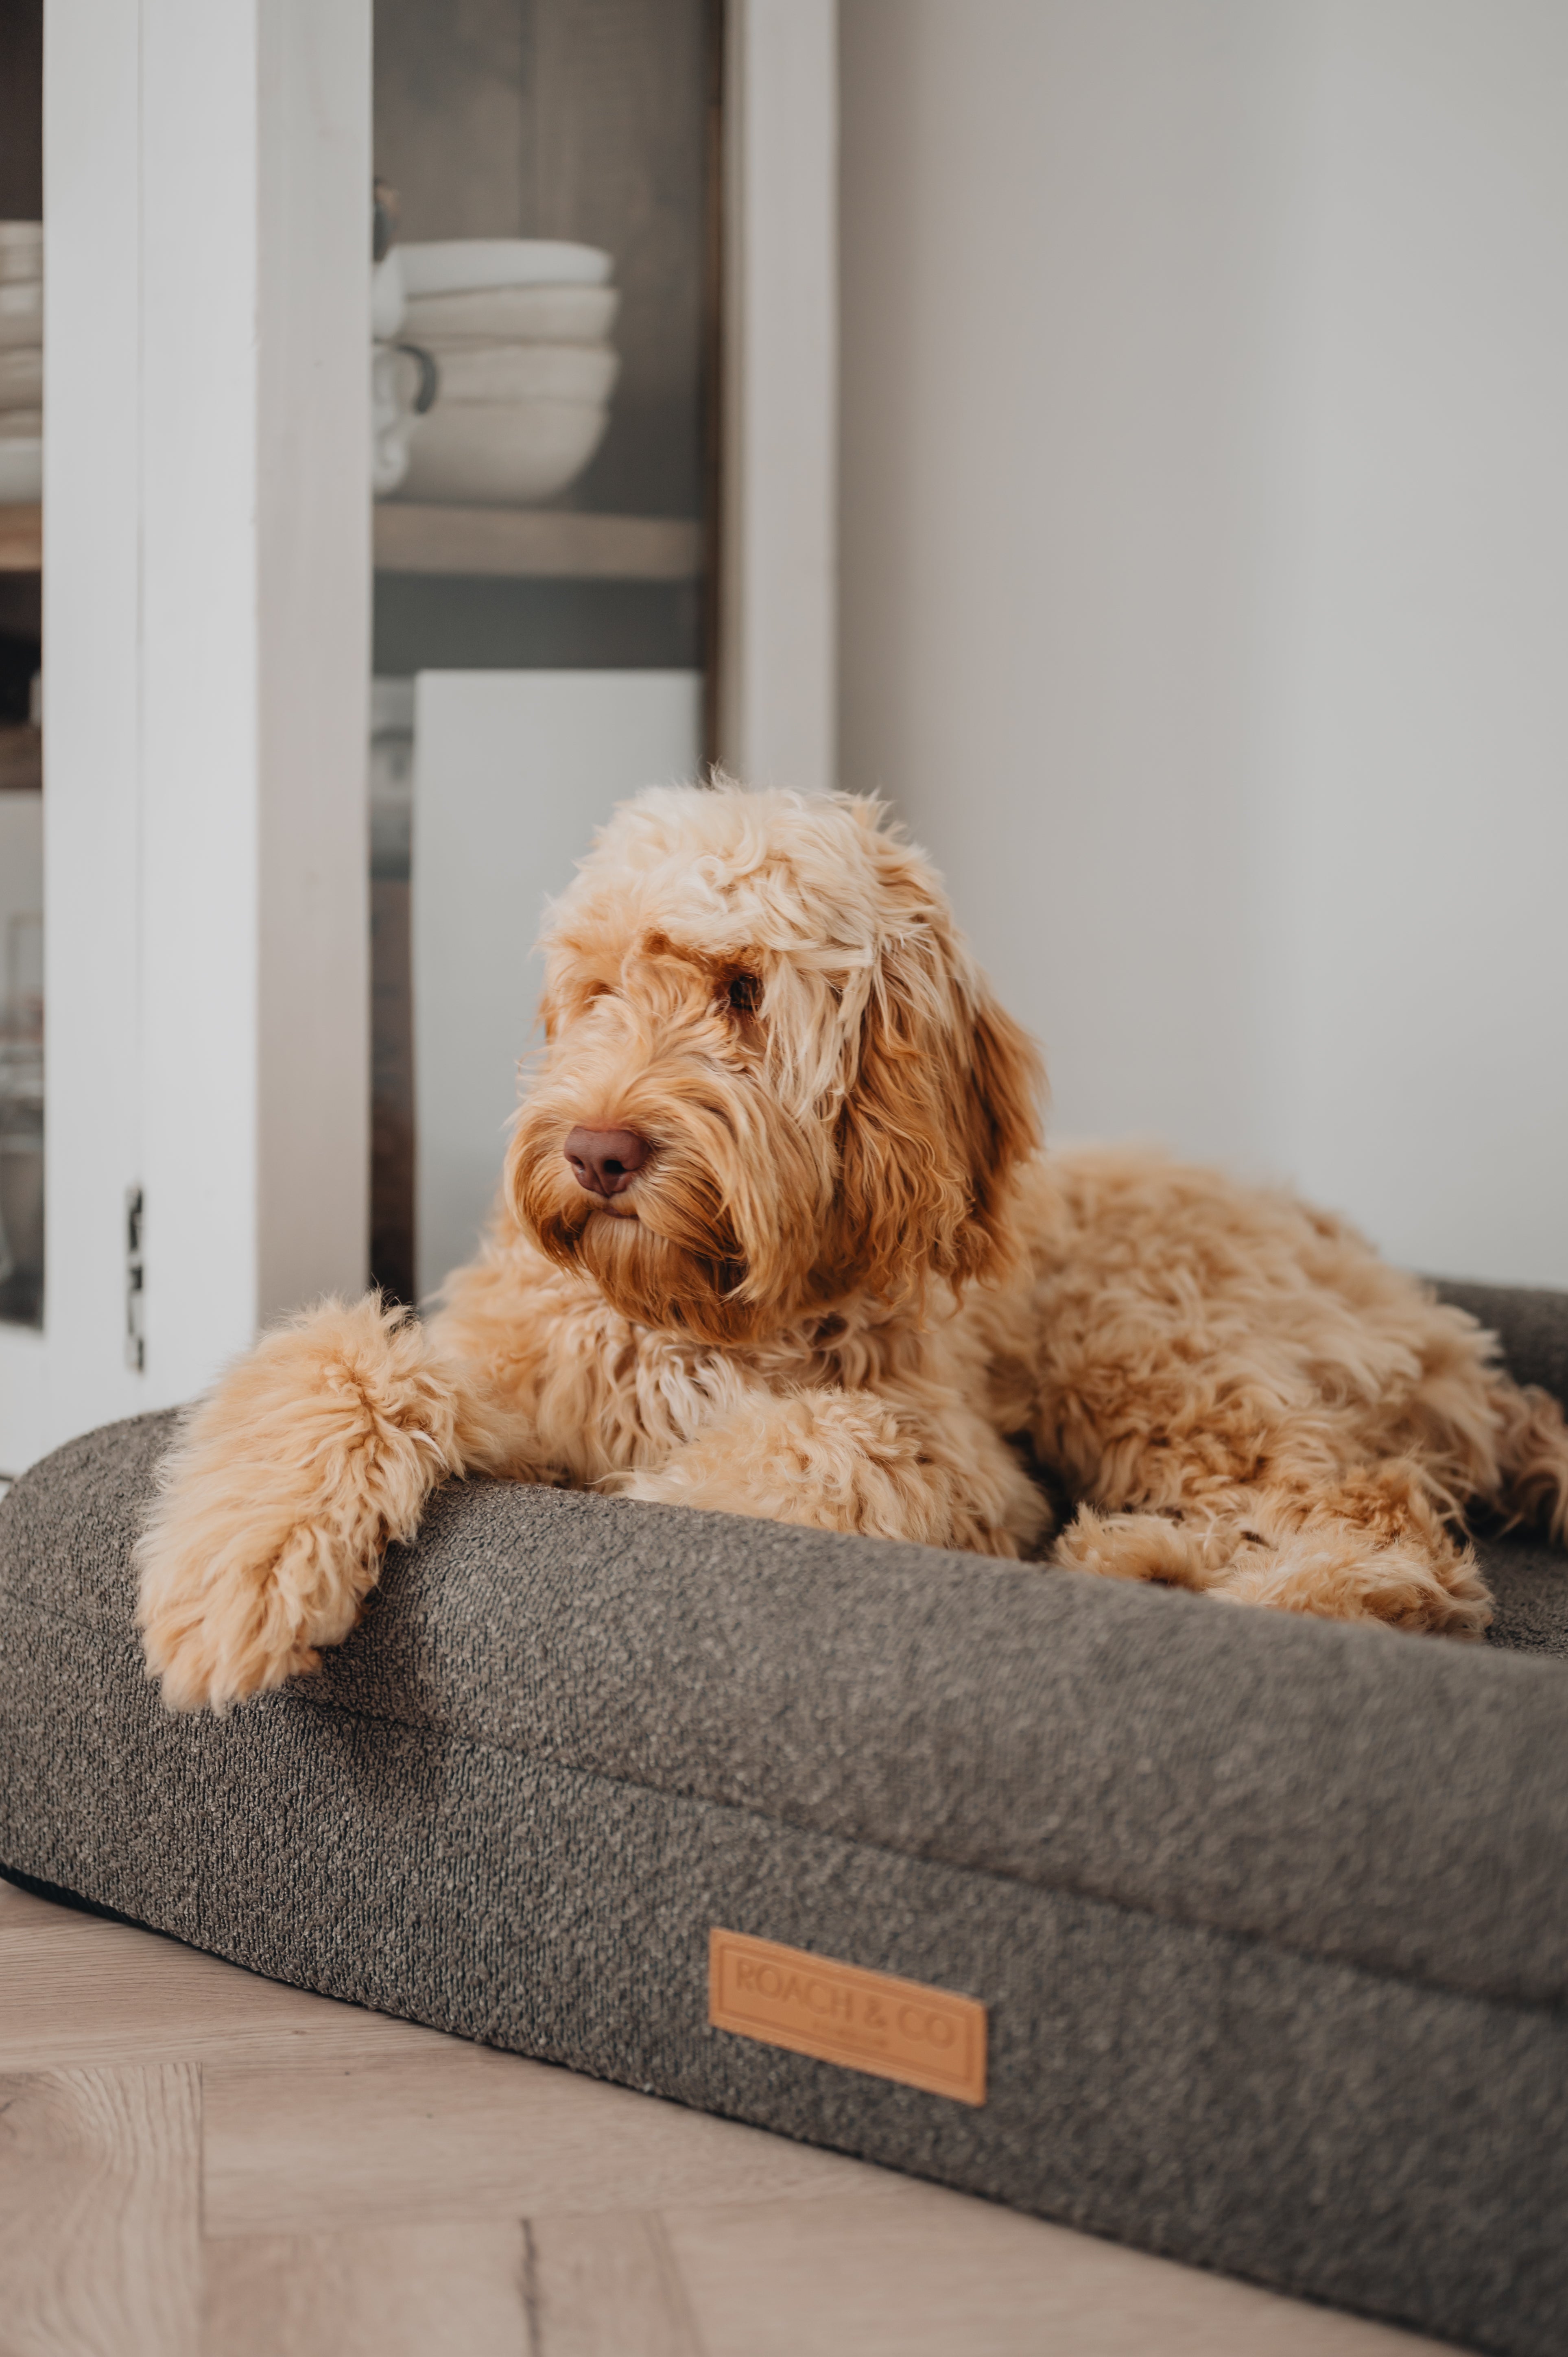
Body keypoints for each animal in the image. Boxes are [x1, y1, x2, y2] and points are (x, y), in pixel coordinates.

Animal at [137, 782, 1566, 1706]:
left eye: (741, 992)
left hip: (1145, 1344)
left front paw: (636, 1495)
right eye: (597, 991)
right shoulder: (505, 1365)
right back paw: (1143, 1554)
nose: (596, 1151)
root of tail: (1442, 1323)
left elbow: (813, 1444)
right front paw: (231, 1582)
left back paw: (1171, 1570)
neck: (696, 1310)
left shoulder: (949, 1452)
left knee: (1395, 1538)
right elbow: (336, 1359)